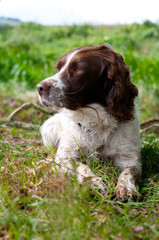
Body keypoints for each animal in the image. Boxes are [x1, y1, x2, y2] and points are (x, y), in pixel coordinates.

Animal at [36, 44, 141, 200]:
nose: (39, 88)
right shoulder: (64, 156)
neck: (97, 122)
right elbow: (81, 167)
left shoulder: (129, 157)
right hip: (49, 129)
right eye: (58, 69)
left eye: (79, 68)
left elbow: (128, 172)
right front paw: (93, 182)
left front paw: (126, 188)